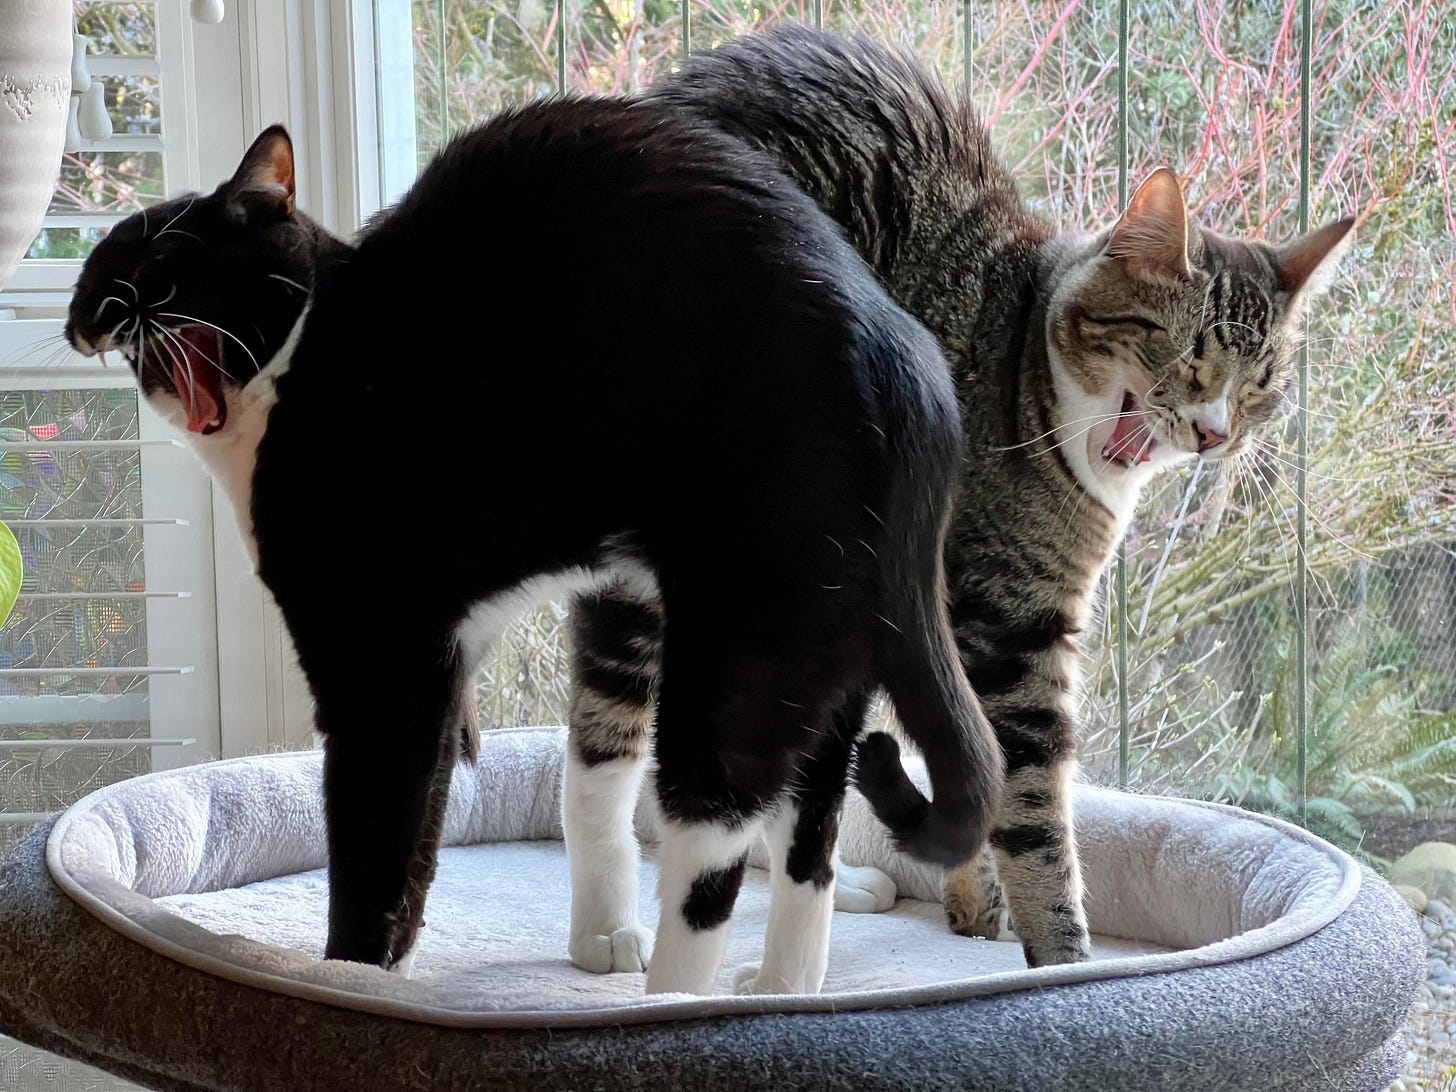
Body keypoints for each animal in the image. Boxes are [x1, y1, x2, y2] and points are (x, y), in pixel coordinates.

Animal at [65, 104, 1001, 1001]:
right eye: (99, 267)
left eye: (159, 258)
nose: (84, 311)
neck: (303, 364)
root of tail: (906, 360)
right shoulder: (441, 660)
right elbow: (421, 834)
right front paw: (390, 974)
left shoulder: (378, 669)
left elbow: (373, 839)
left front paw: (347, 980)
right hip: (820, 649)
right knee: (809, 826)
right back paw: (778, 989)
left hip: (741, 645)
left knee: (713, 848)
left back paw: (672, 1006)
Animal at [646, 23, 1351, 966]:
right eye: (1187, 356)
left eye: (1260, 386)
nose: (1213, 433)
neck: (1026, 367)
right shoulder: (1012, 621)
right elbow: (1033, 806)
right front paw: (1065, 964)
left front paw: (975, 901)